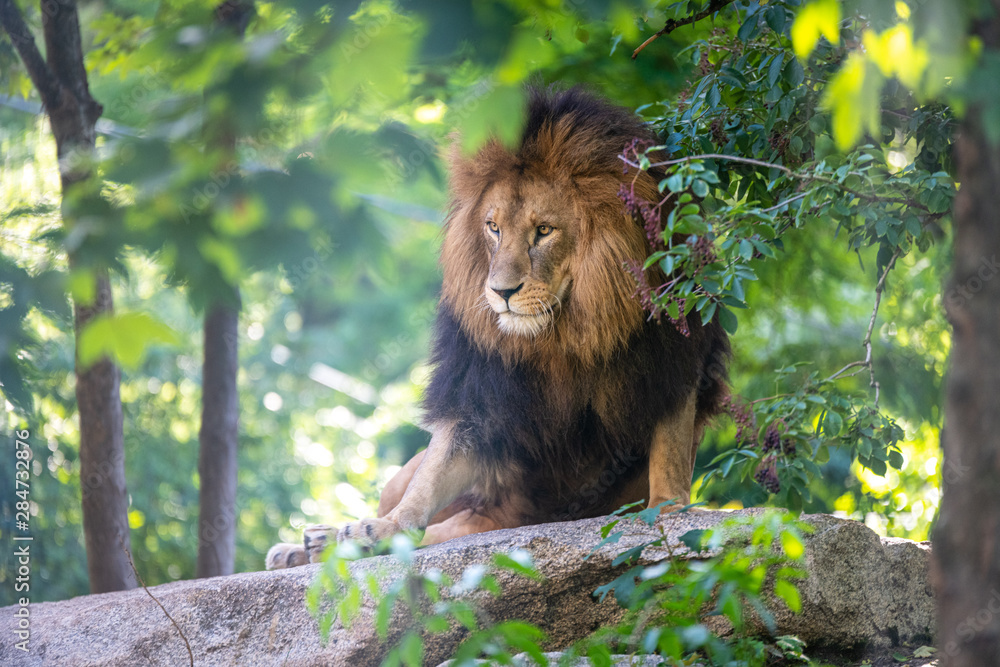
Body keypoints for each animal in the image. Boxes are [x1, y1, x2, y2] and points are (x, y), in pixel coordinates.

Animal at [266, 87, 729, 569]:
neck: (562, 333)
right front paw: (379, 530)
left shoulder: (675, 363)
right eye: (493, 228)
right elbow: (432, 477)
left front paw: (669, 510)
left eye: (543, 230)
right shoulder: (480, 393)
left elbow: (669, 458)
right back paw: (312, 544)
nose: (501, 292)